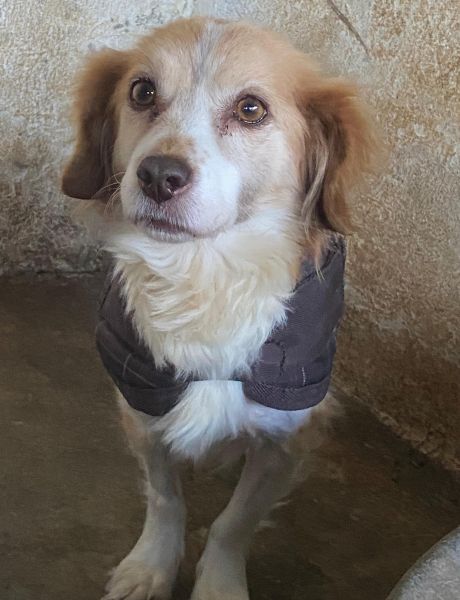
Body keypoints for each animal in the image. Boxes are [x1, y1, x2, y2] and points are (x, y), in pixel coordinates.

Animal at [61, 17, 376, 600]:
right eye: (142, 92)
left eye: (251, 108)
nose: (158, 175)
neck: (204, 276)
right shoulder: (144, 398)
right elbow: (165, 498)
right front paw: (152, 567)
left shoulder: (285, 433)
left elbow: (235, 522)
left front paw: (219, 583)